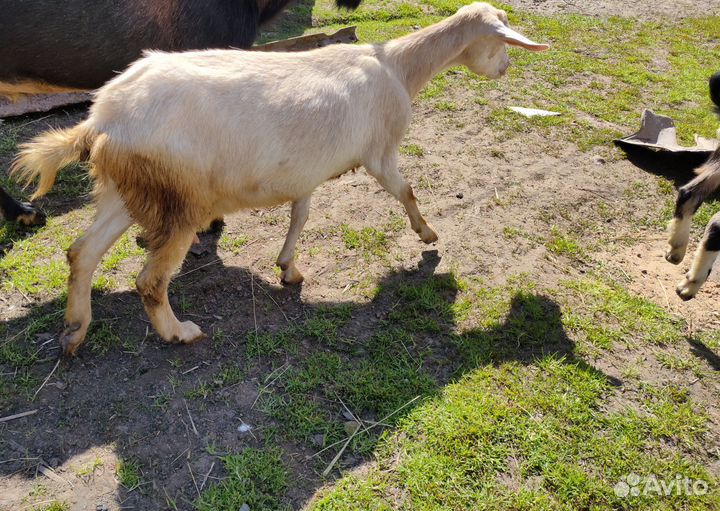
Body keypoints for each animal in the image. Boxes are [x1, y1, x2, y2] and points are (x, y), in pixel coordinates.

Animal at [12, 2, 549, 355]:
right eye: (500, 40)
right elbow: (405, 190)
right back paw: (178, 332)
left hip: (130, 187)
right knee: (149, 279)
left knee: (81, 252)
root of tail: (104, 120)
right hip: (184, 198)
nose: (505, 68)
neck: (398, 68)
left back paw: (74, 331)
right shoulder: (378, 151)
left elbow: (300, 215)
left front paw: (288, 267)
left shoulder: (304, 170)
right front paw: (428, 235)